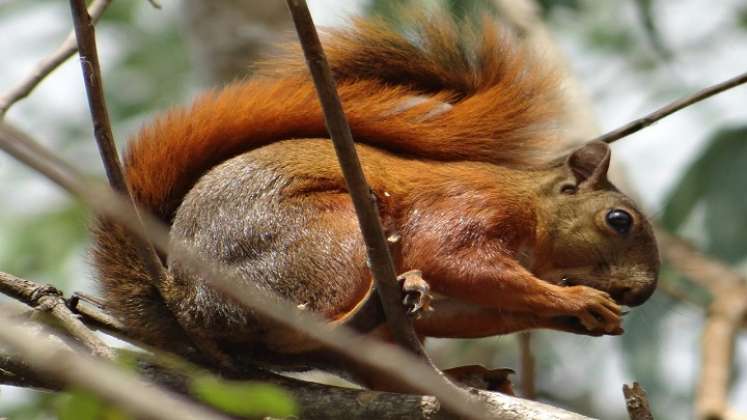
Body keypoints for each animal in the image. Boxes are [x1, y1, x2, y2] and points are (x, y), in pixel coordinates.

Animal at [90, 13, 656, 388]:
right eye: (618, 220)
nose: (641, 293)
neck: (534, 217)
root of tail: (187, 301)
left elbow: (469, 306)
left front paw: (579, 316)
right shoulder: (470, 208)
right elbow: (452, 258)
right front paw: (577, 302)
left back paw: (458, 375)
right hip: (330, 239)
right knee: (306, 329)